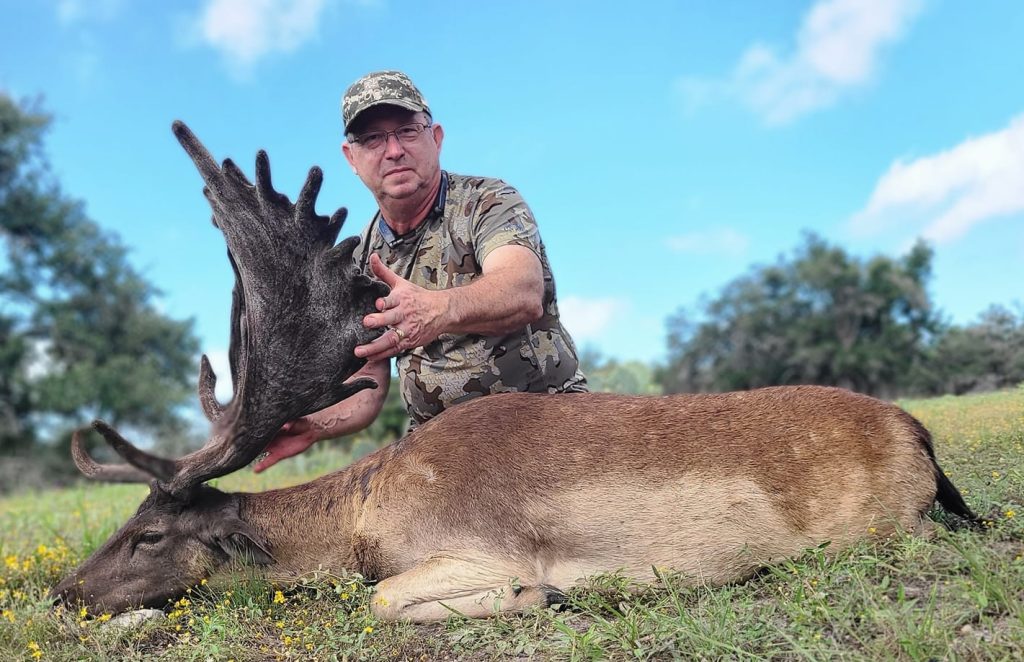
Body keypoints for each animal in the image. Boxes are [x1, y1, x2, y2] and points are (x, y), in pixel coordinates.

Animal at [50, 122, 978, 623]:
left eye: (148, 535)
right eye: (127, 520)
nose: (62, 592)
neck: (367, 518)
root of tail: (918, 430)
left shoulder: (481, 551)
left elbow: (380, 600)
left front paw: (552, 597)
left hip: (890, 528)